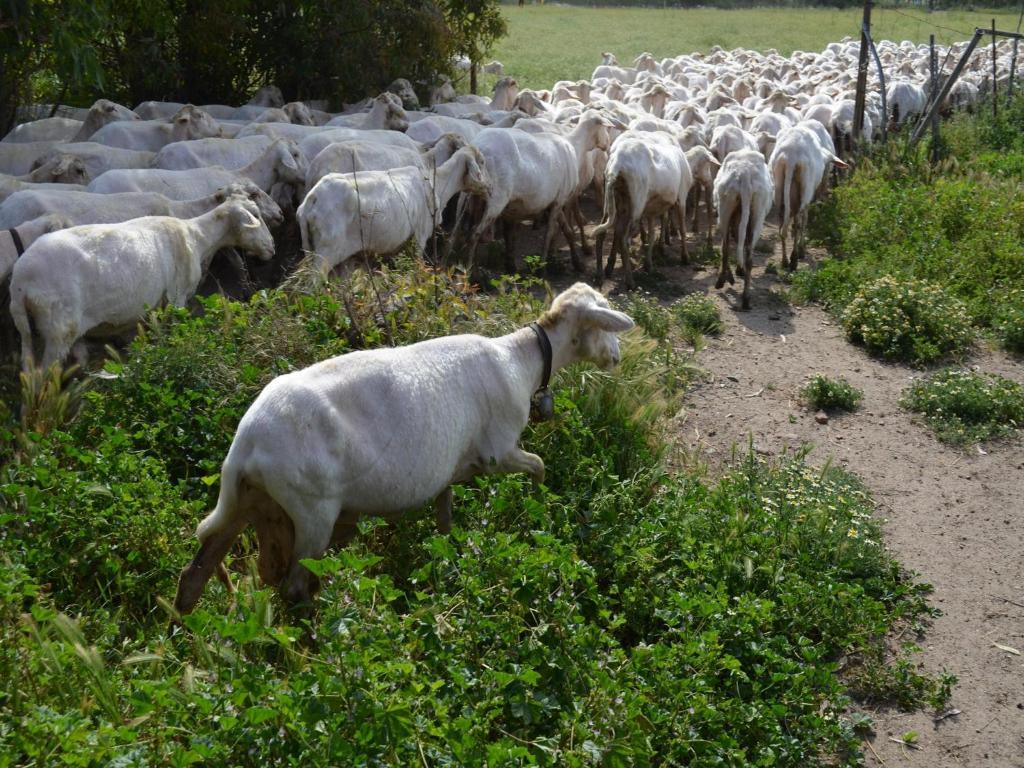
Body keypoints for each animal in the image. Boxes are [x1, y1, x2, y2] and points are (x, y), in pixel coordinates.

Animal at [9, 196, 274, 368]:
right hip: (58, 330)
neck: (197, 237)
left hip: (30, 332)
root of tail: (20, 281)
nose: (272, 248)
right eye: (256, 216)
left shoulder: (154, 309)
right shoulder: (177, 298)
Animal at [173, 282, 634, 614]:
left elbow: (445, 516)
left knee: (196, 572)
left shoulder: (450, 470)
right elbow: (538, 465)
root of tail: (245, 444)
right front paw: (539, 508)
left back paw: (183, 635)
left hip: (251, 502)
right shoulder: (497, 453)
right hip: (311, 510)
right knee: (294, 588)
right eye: (604, 320)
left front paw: (450, 557)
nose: (617, 359)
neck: (522, 362)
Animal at [712, 148, 774, 309]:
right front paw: (738, 272)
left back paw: (721, 281)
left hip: (725, 207)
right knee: (748, 255)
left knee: (725, 246)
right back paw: (746, 298)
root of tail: (745, 175)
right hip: (758, 212)